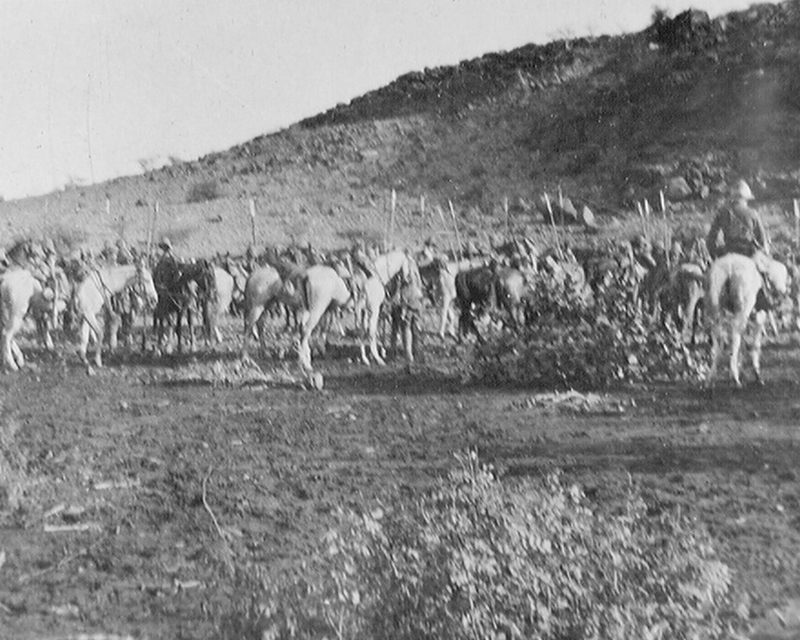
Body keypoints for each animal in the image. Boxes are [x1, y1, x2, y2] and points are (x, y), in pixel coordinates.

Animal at [704, 252, 792, 388]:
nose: (783, 293)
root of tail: (729, 268)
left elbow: (744, 342)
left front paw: (743, 373)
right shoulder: (759, 316)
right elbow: (755, 343)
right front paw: (757, 375)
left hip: (713, 304)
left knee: (717, 333)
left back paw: (710, 378)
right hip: (743, 306)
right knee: (735, 331)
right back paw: (735, 378)